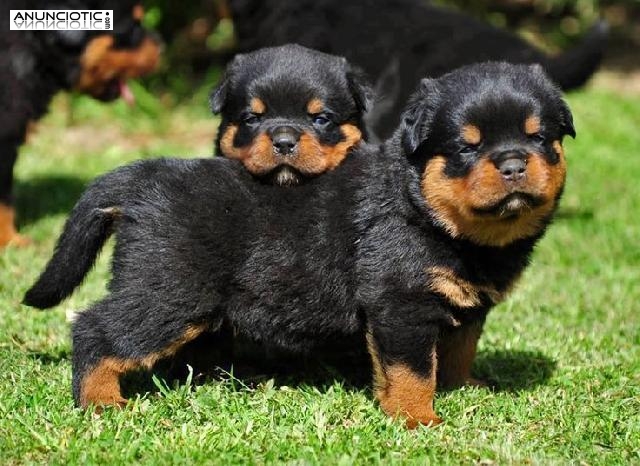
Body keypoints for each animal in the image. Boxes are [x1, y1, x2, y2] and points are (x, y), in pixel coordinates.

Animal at [25, 62, 576, 430]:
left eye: (539, 137)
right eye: (467, 145)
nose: (513, 163)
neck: (432, 215)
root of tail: (142, 175)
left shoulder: (466, 303)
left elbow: (459, 348)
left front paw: (464, 388)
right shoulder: (400, 303)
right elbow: (412, 369)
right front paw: (417, 419)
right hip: (170, 291)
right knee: (96, 329)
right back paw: (101, 403)